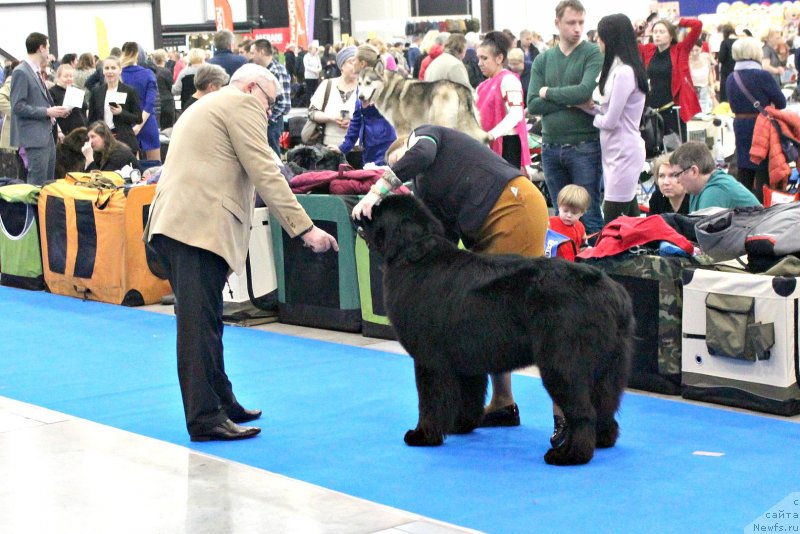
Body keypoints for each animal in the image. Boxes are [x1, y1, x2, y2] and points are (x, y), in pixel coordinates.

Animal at [360, 195, 636, 466]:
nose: (361, 212)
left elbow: (430, 401)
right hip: (607, 367)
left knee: (584, 412)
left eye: (377, 209)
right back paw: (602, 441)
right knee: (605, 406)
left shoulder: (429, 358)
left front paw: (424, 435)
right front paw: (460, 425)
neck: (414, 254)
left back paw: (569, 455)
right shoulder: (465, 357)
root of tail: (613, 292)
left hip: (562, 363)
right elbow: (468, 396)